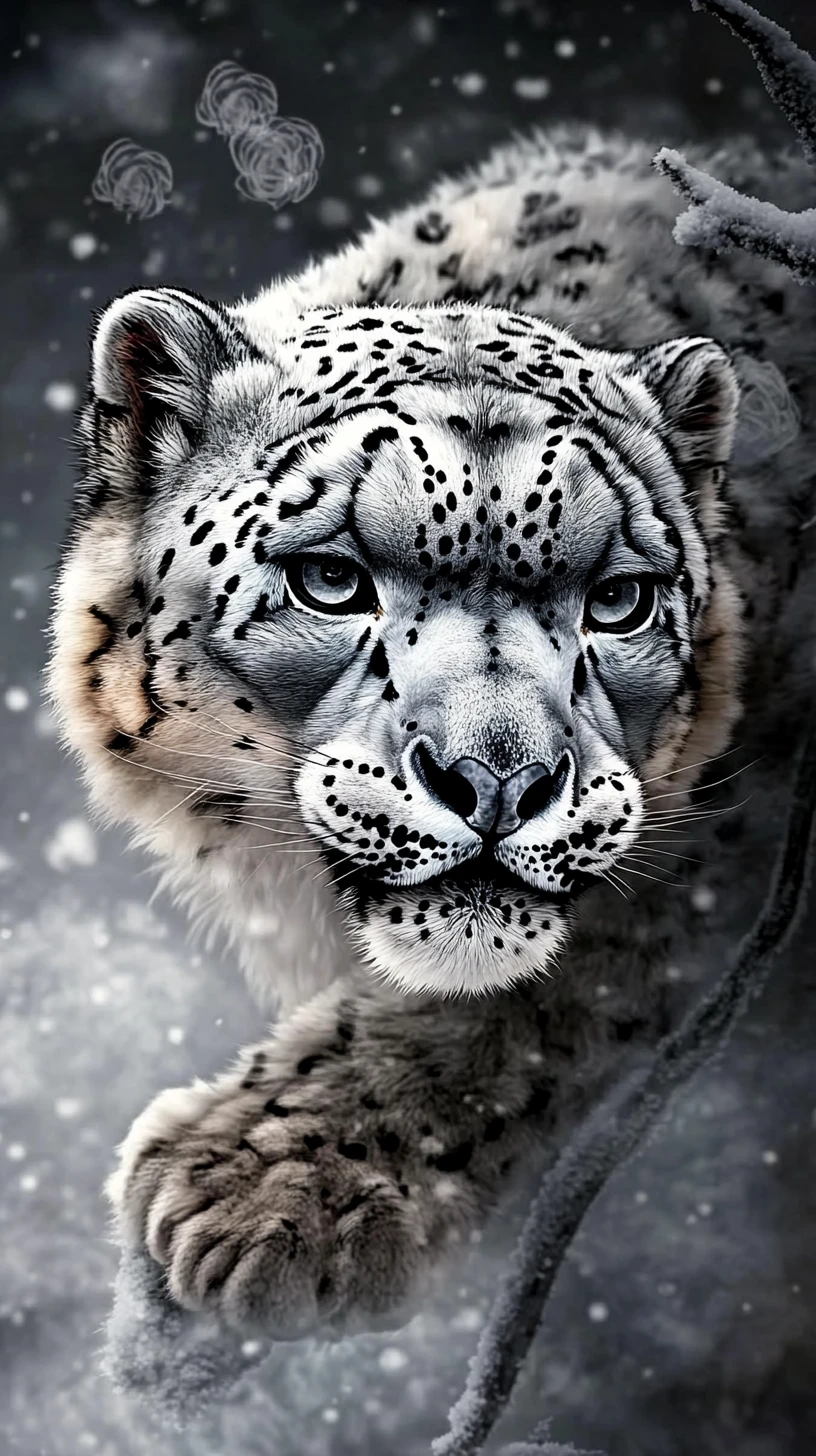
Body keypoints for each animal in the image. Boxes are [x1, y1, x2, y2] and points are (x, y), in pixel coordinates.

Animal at [48, 126, 816, 1341]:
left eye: (618, 600)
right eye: (331, 579)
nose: (500, 780)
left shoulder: (713, 845)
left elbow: (529, 1003)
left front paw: (270, 1193)